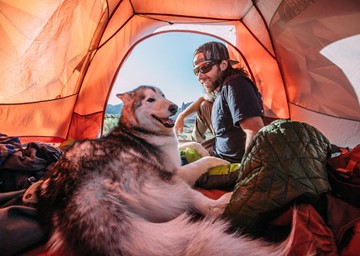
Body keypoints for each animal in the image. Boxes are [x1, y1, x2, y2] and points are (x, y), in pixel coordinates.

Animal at [34, 85, 286, 254]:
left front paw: (203, 151)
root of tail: (75, 190)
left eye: (163, 96)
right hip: (172, 186)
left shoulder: (175, 154)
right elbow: (203, 161)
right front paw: (219, 161)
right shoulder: (177, 172)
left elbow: (192, 145)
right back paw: (228, 200)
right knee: (210, 209)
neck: (141, 131)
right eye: (149, 99)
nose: (174, 107)